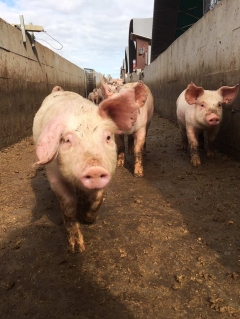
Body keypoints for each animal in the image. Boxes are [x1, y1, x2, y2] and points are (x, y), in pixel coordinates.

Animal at [32, 84, 147, 252]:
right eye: (67, 140)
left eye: (108, 137)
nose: (95, 169)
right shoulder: (54, 176)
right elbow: (68, 204)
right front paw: (77, 248)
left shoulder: (107, 171)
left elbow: (97, 198)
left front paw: (88, 219)